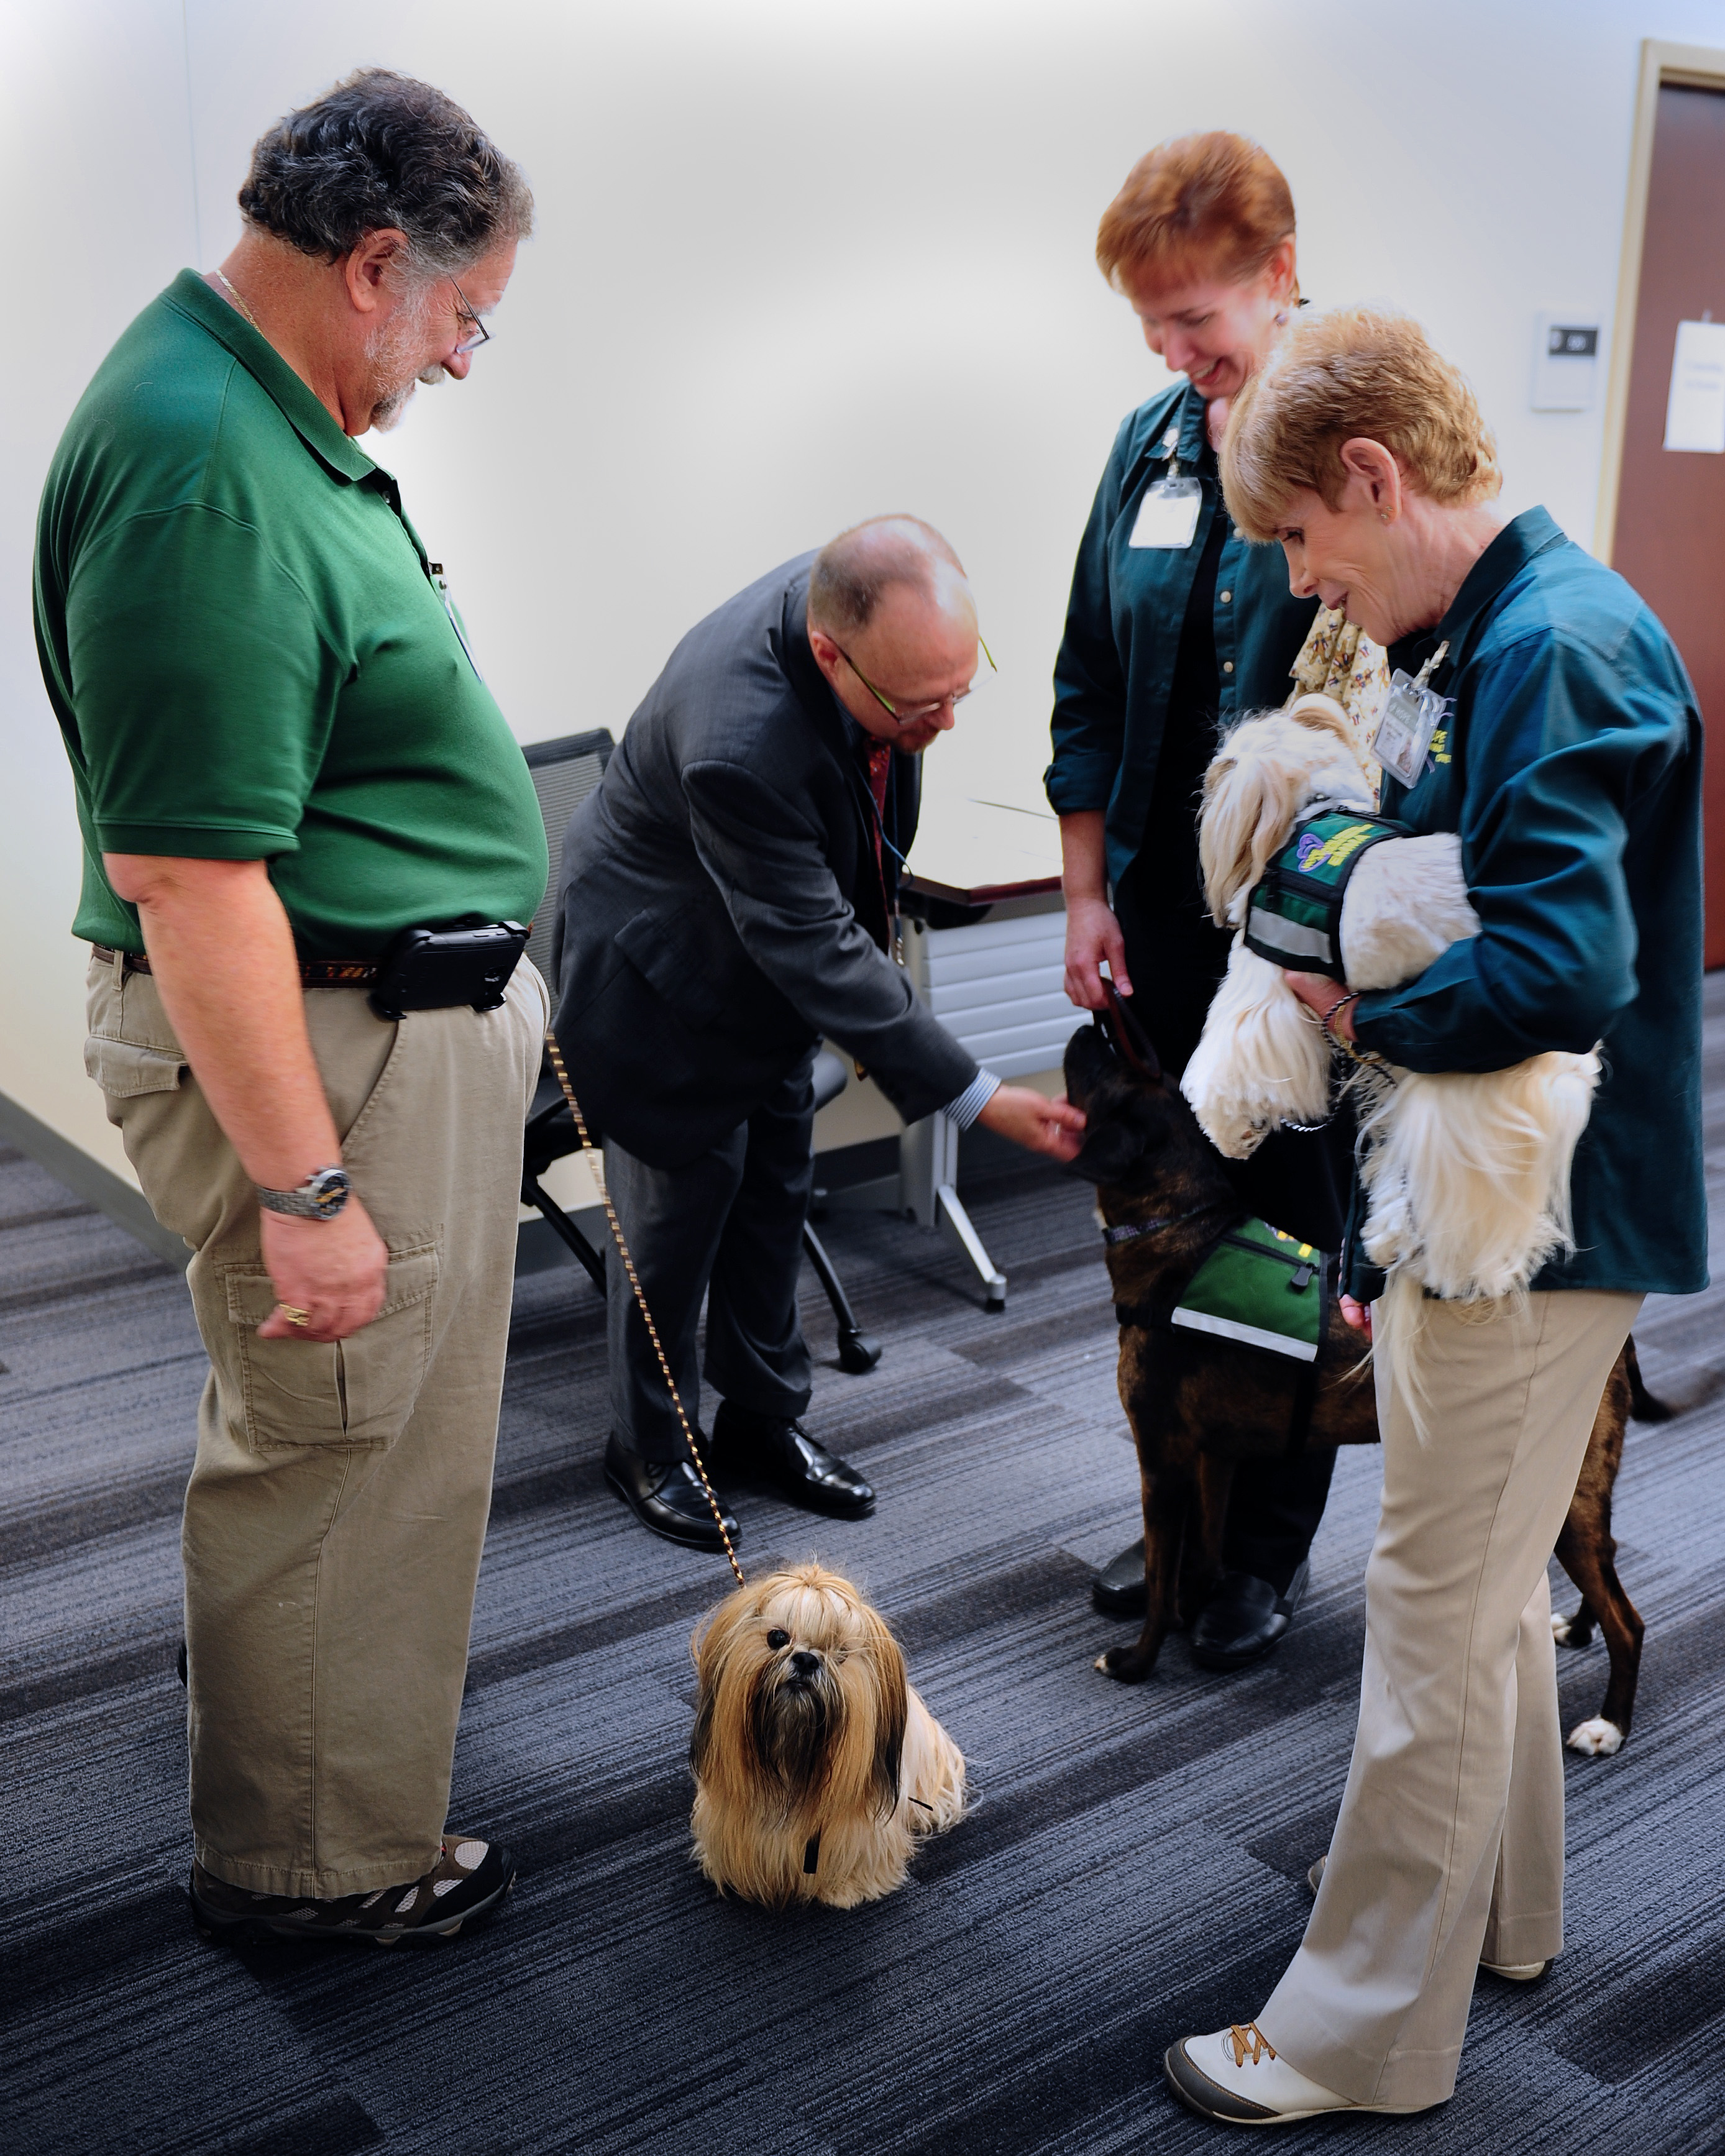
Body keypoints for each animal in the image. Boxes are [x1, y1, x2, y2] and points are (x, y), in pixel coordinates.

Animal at [1065, 1008, 1655, 1750]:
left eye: (1105, 1067)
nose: (1087, 1026)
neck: (1182, 1236)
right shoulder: (1213, 1458)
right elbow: (1201, 1555)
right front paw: (1193, 1615)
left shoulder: (1161, 1460)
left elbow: (1162, 1570)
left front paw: (1138, 1660)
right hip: (1571, 1492)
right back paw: (1575, 1630)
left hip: (1570, 1490)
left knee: (1629, 1621)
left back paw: (1609, 1724)